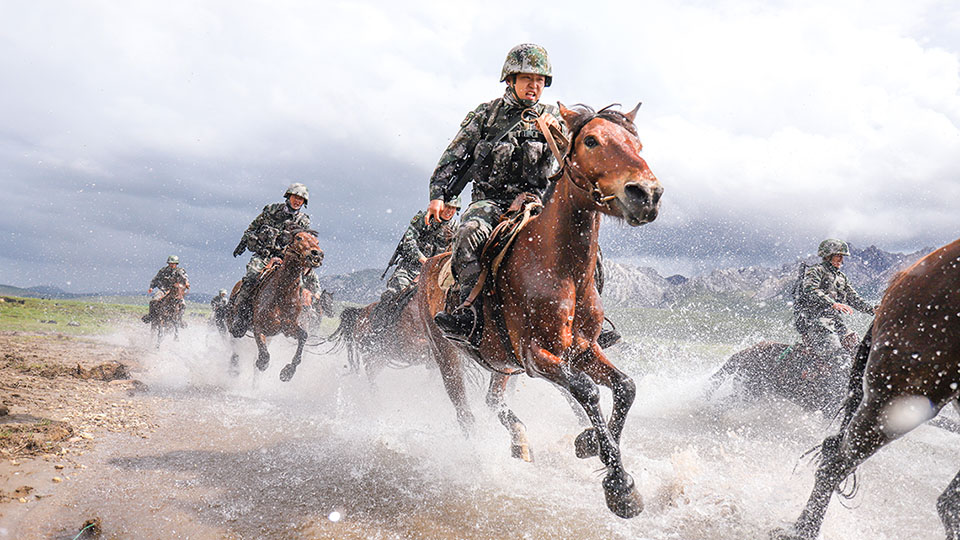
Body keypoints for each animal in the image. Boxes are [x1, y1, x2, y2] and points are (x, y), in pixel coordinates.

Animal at [226, 230, 324, 382]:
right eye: (299, 238)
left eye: (317, 241)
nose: (317, 254)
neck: (282, 293)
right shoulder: (259, 328)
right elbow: (264, 355)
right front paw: (262, 363)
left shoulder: (288, 328)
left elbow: (303, 336)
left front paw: (288, 372)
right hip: (233, 326)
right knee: (234, 347)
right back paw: (234, 368)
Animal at [416, 102, 662, 518]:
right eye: (591, 140)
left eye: (638, 144)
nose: (646, 193)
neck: (560, 268)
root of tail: (428, 267)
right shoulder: (536, 355)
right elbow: (588, 391)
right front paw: (620, 486)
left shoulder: (583, 351)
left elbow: (625, 387)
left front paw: (590, 442)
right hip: (447, 354)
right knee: (465, 411)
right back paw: (478, 457)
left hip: (500, 364)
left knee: (494, 401)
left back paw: (519, 441)